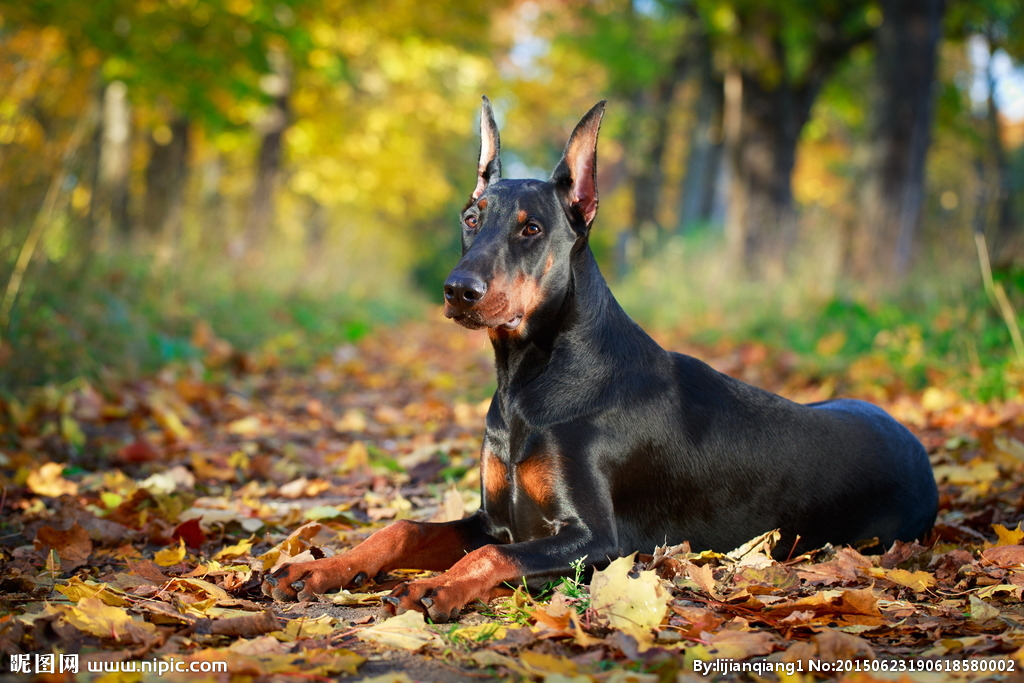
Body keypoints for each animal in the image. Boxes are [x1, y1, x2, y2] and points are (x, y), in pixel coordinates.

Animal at [262, 97, 937, 626]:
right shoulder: (495, 518)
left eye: (532, 229)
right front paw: (319, 568)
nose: (458, 290)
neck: (528, 382)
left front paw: (438, 587)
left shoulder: (599, 541)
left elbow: (489, 556)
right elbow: (403, 528)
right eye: (471, 218)